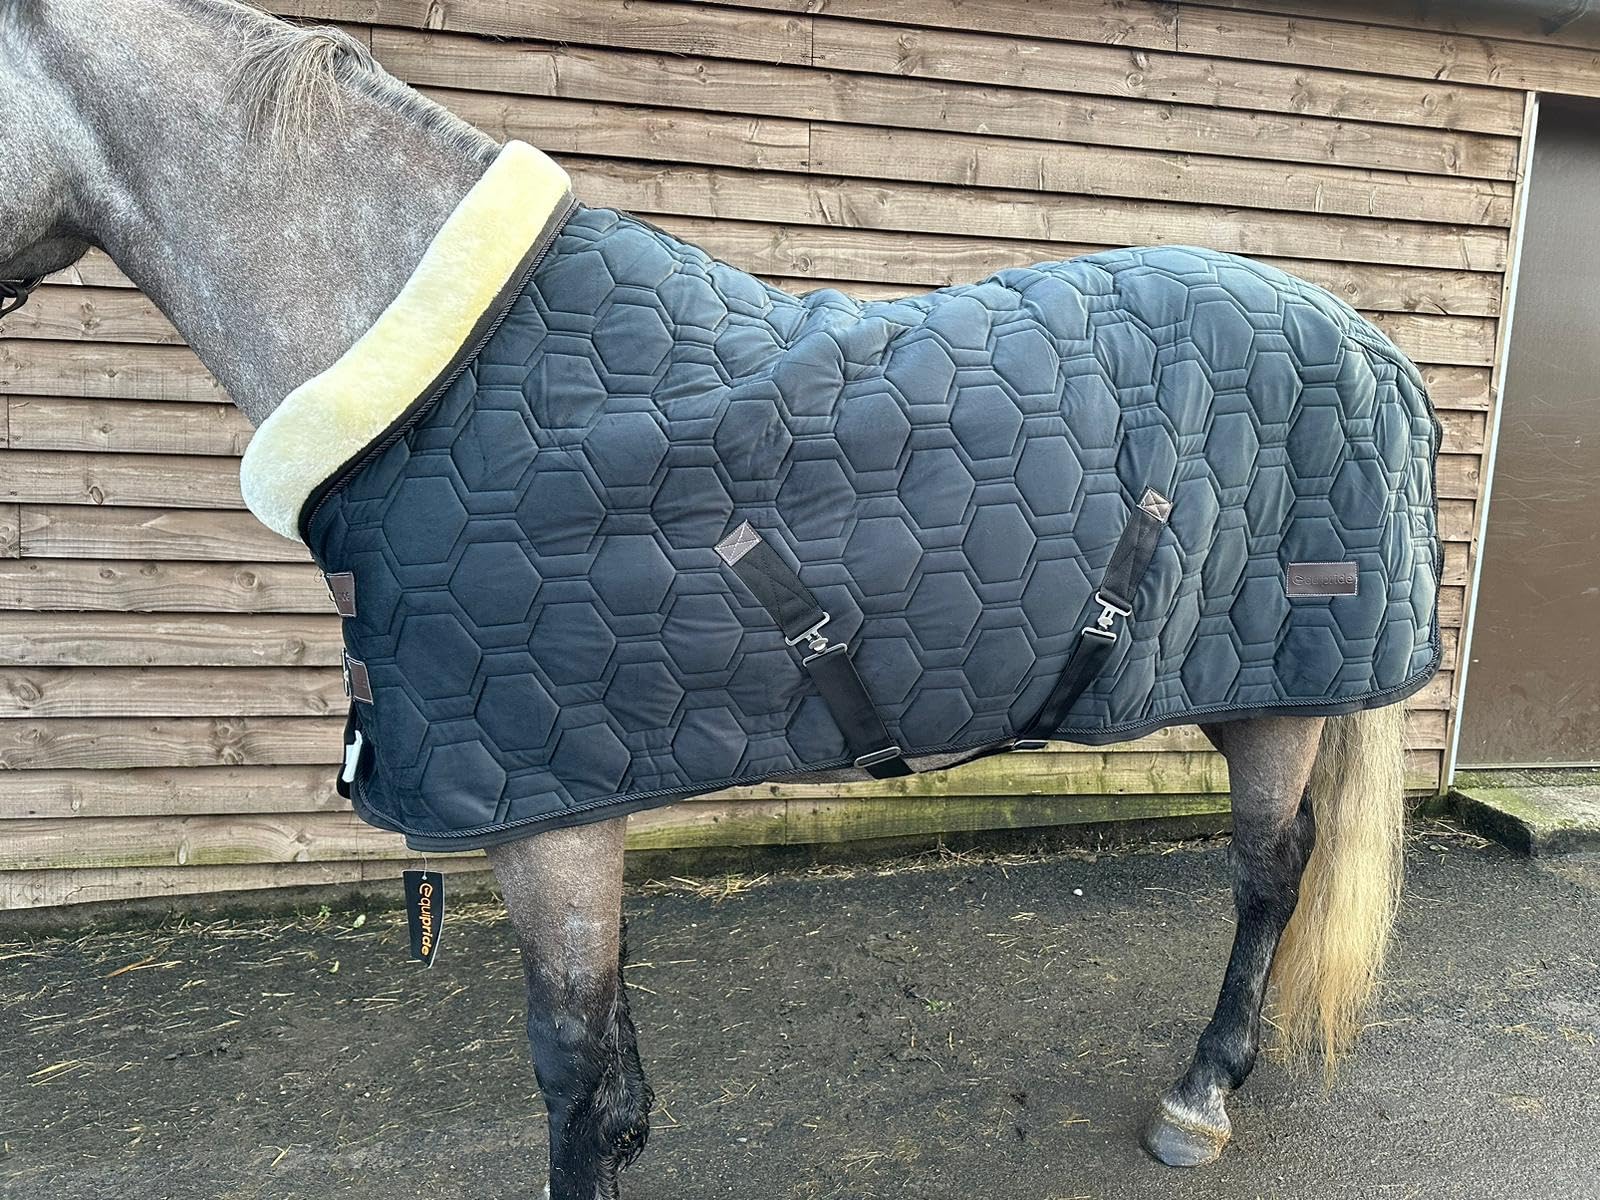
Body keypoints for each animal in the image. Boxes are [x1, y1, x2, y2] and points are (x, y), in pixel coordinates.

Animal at [0, 2, 1438, 1196]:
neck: (448, 379)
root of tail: (1373, 344)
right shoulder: (575, 793)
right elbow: (610, 1063)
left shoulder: (544, 815)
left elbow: (571, 1076)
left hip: (1281, 691)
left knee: (1269, 874)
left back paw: (1202, 1095)